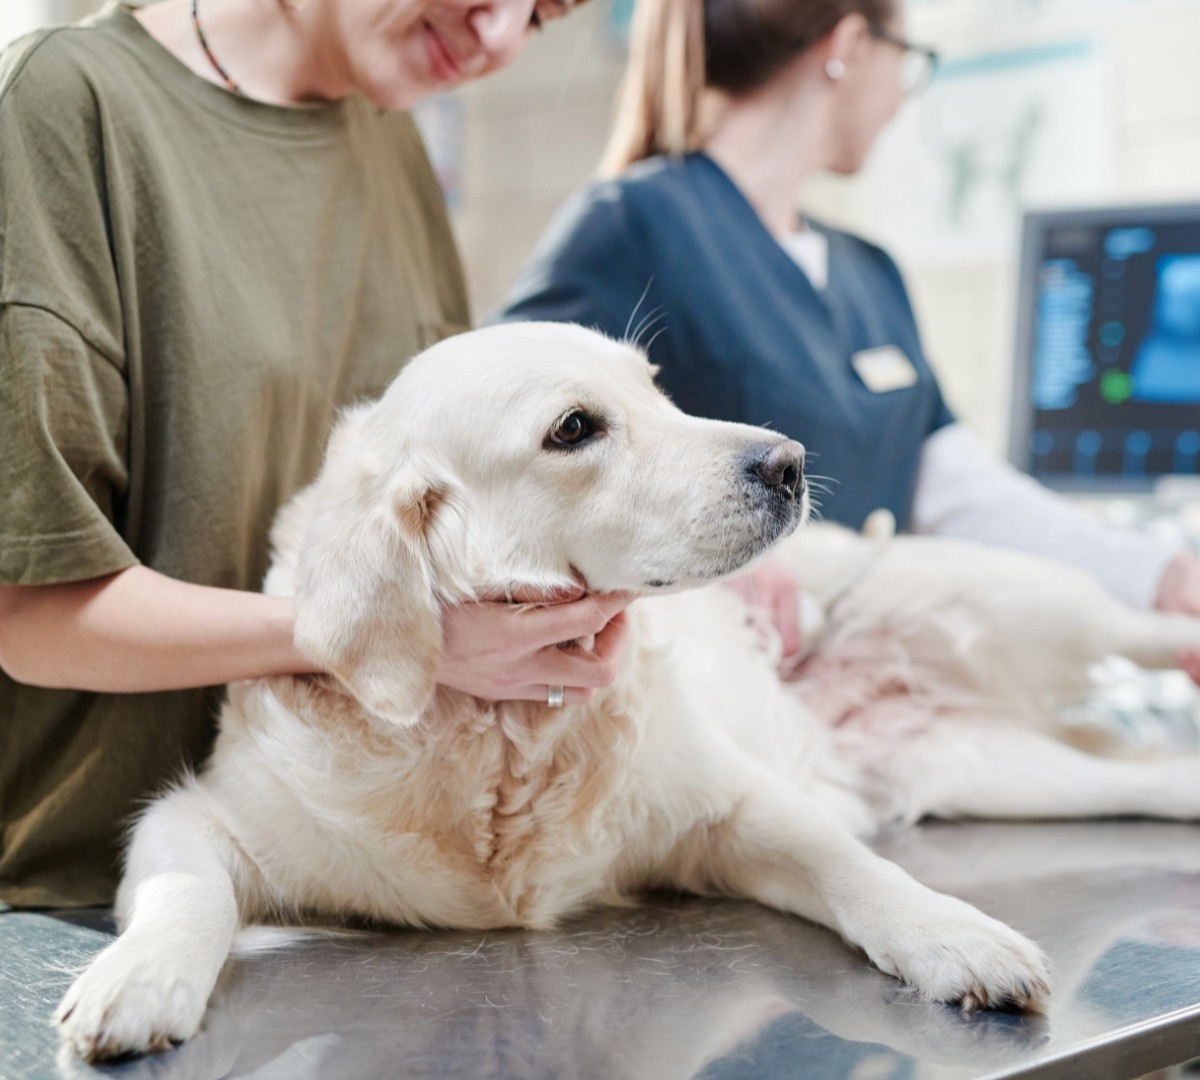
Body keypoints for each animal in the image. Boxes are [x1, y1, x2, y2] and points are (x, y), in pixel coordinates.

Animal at [56, 321, 1200, 1060]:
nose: (788, 460)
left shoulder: (734, 807)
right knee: (1148, 772)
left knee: (1140, 627)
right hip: (1005, 769)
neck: (506, 734)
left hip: (1025, 600)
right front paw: (139, 979)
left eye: (657, 387)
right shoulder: (199, 817)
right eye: (575, 428)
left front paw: (956, 936)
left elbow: (858, 870)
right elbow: (189, 890)